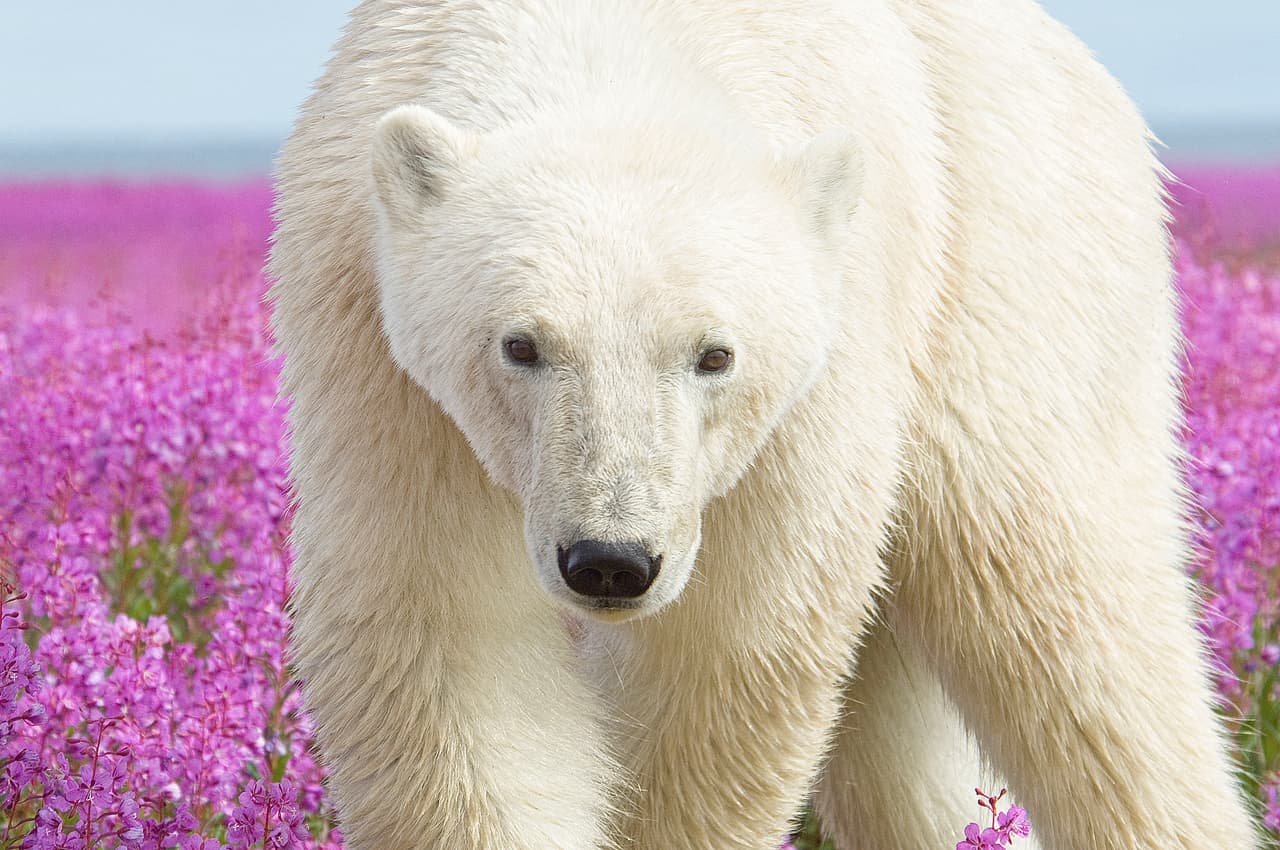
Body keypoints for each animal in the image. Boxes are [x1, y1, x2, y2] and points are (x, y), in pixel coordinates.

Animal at [268, 1, 1257, 848]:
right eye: (521, 344)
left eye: (714, 354)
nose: (610, 562)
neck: (614, 41)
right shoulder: (382, 367)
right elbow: (450, 638)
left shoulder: (822, 367)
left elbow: (730, 649)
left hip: (1014, 277)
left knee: (1069, 621)